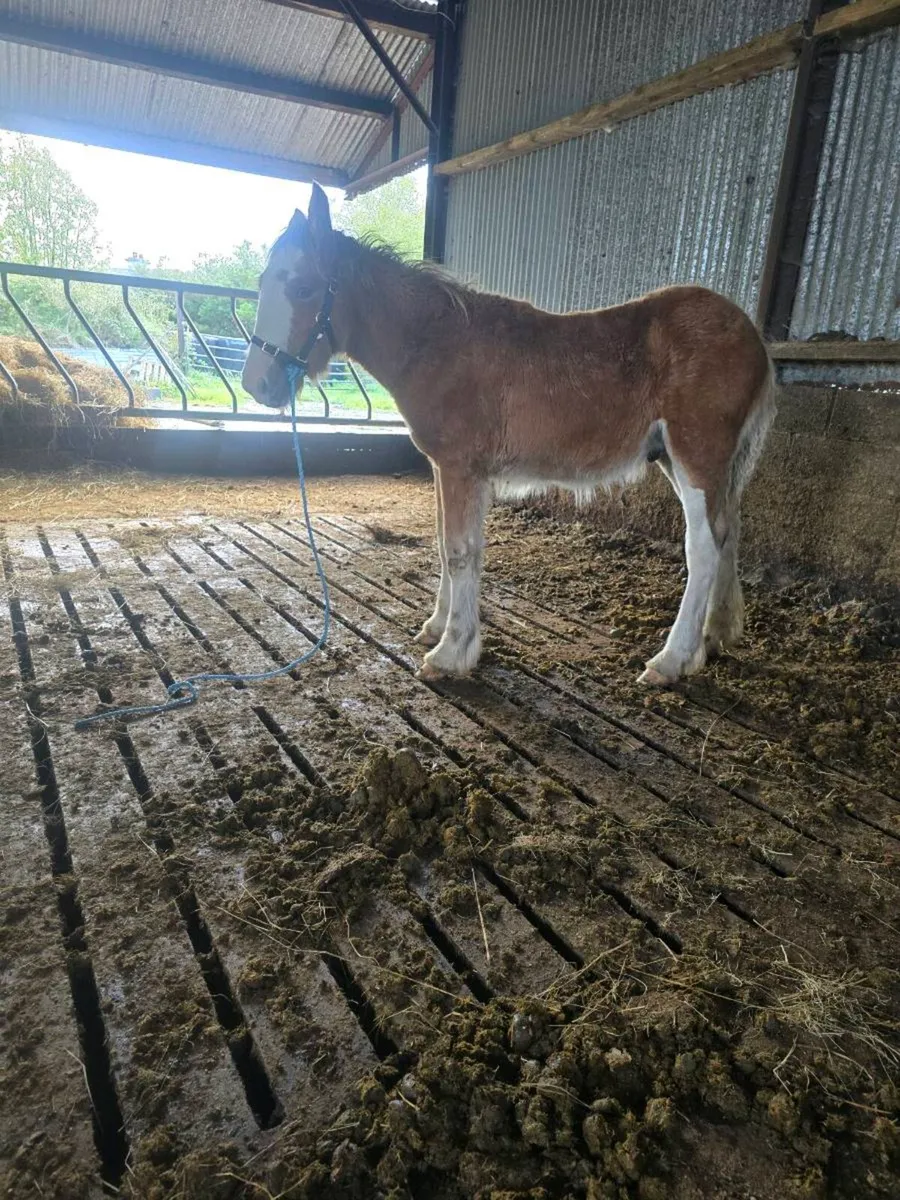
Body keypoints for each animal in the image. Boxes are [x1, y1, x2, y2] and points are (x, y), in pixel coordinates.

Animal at [242, 183, 775, 686]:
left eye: (305, 288)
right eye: (263, 281)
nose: (257, 384)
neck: (438, 344)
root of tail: (753, 336)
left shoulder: (462, 469)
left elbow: (461, 553)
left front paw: (452, 653)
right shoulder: (446, 469)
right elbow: (444, 544)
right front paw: (436, 628)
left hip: (696, 454)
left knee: (703, 546)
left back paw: (673, 659)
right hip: (683, 460)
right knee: (729, 531)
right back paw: (715, 635)